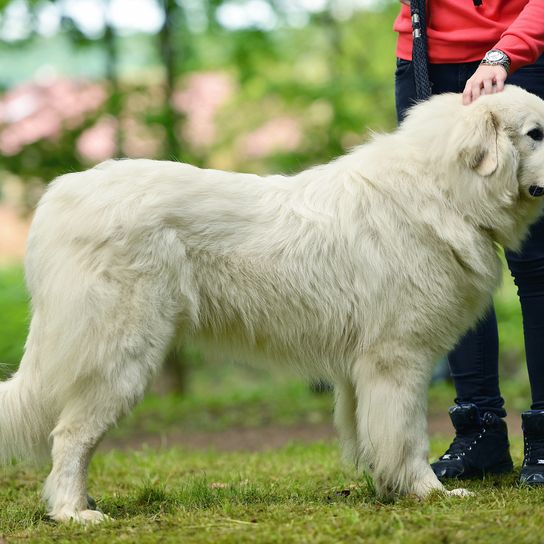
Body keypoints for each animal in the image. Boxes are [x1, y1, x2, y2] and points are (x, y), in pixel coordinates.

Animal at [1, 85, 544, 524]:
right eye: (537, 133)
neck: (445, 192)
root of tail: (60, 197)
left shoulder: (363, 371)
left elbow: (371, 435)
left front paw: (385, 489)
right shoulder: (398, 359)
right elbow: (407, 436)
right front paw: (428, 493)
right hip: (121, 355)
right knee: (70, 435)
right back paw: (74, 513)